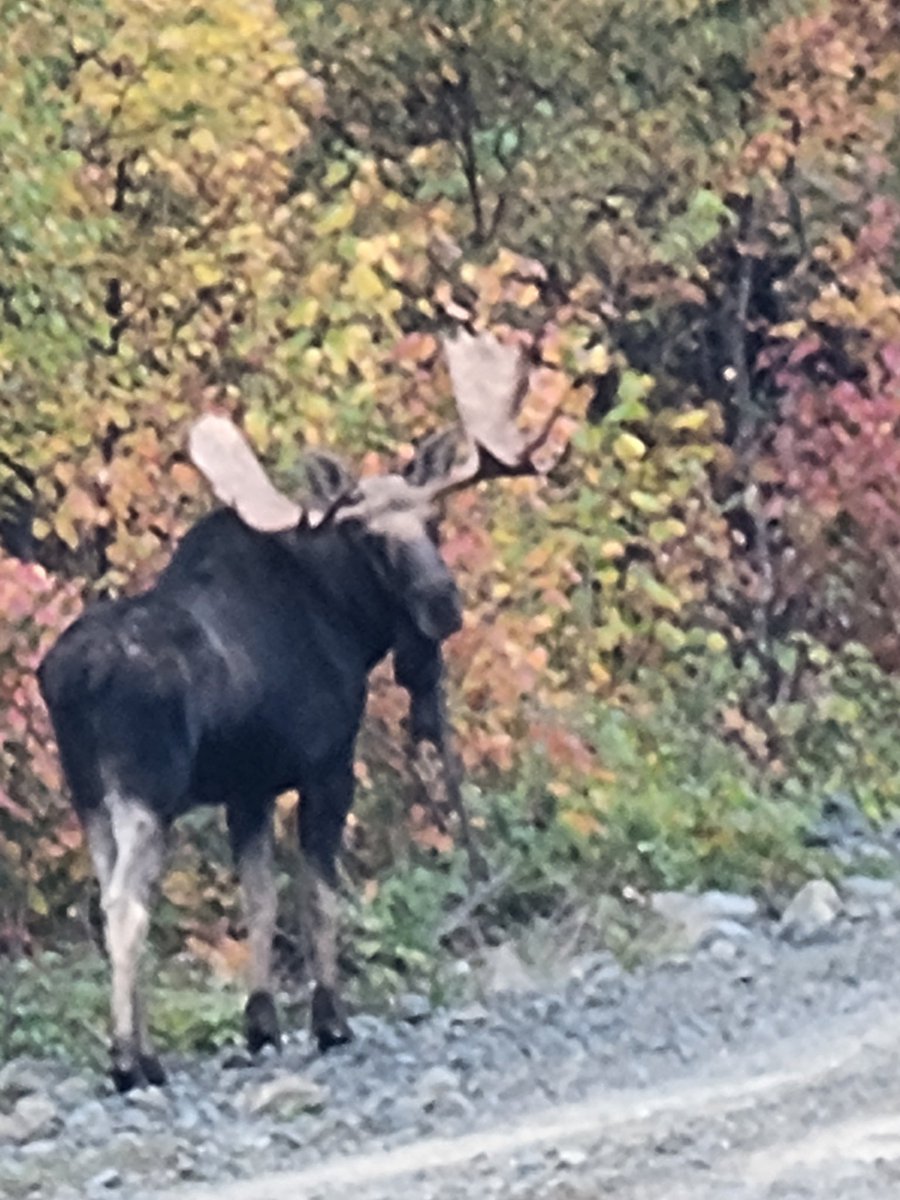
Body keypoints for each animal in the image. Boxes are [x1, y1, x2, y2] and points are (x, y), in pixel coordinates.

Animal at [37, 331, 563, 1091]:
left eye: (434, 521)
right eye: (371, 538)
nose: (443, 603)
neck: (348, 626)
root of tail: (72, 673)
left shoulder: (248, 787)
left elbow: (258, 897)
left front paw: (260, 1022)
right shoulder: (325, 767)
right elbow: (319, 894)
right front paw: (329, 1020)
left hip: (86, 793)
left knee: (109, 896)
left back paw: (141, 1052)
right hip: (147, 789)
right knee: (125, 908)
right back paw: (129, 1060)